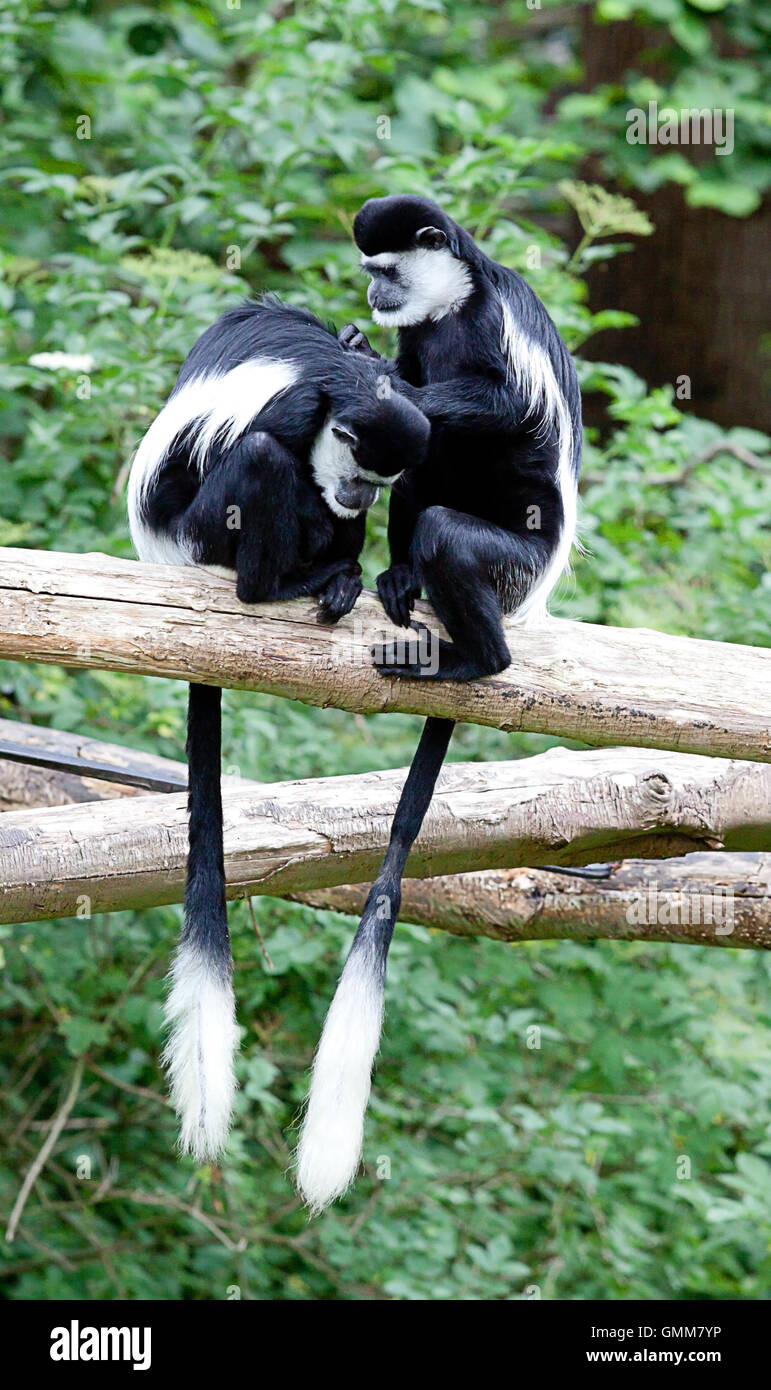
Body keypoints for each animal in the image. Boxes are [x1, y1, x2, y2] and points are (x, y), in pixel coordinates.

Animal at [125, 298, 427, 1167]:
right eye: (362, 471)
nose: (361, 498)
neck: (343, 385)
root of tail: (162, 556)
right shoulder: (297, 418)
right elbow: (269, 446)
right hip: (205, 534)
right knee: (260, 464)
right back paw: (284, 583)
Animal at [298, 198, 583, 1217]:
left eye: (384, 269)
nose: (376, 299)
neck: (452, 304)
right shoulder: (421, 334)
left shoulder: (489, 329)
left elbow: (492, 402)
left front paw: (369, 364)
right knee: (419, 474)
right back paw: (398, 580)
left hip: (512, 567)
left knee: (450, 520)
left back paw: (470, 658)